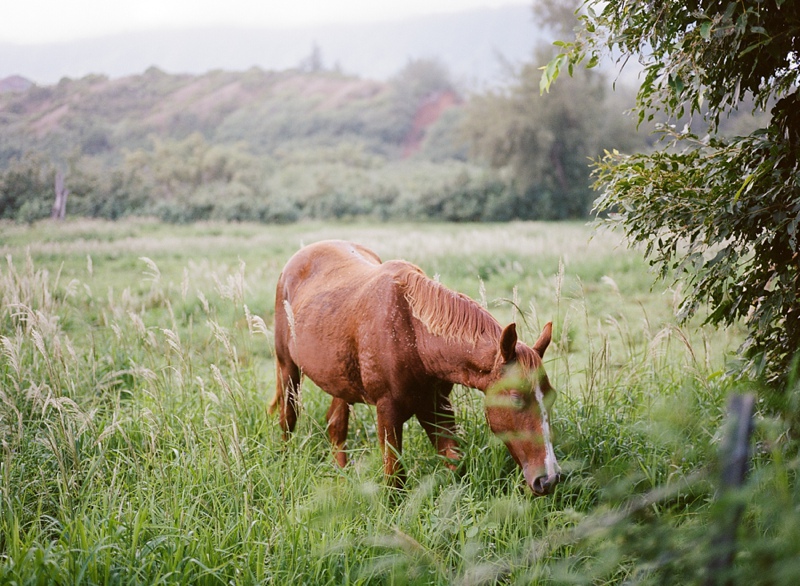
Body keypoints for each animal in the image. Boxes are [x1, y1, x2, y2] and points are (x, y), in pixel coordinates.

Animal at [268, 237, 564, 492]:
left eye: (551, 397)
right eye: (516, 399)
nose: (548, 479)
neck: (414, 334)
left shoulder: (435, 407)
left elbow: (455, 462)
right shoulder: (388, 413)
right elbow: (395, 479)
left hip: (339, 381)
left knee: (336, 427)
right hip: (288, 369)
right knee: (288, 419)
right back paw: (284, 467)